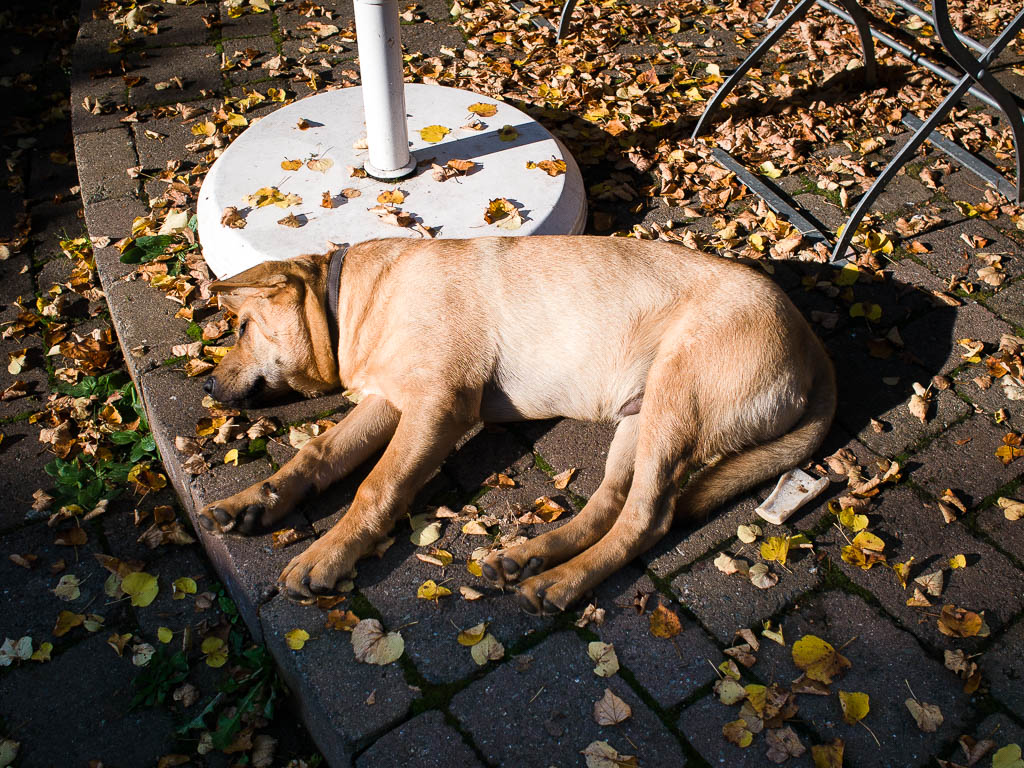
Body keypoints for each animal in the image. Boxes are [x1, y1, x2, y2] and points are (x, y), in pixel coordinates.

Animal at [195, 237, 835, 618]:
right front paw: (250, 502)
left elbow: (375, 487)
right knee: (611, 504)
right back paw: (533, 557)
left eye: (243, 327)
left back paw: (562, 581)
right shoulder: (388, 402)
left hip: (677, 402)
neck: (353, 302)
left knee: (647, 518)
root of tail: (813, 347)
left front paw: (326, 555)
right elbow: (315, 456)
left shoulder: (437, 405)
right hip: (640, 419)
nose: (208, 389)